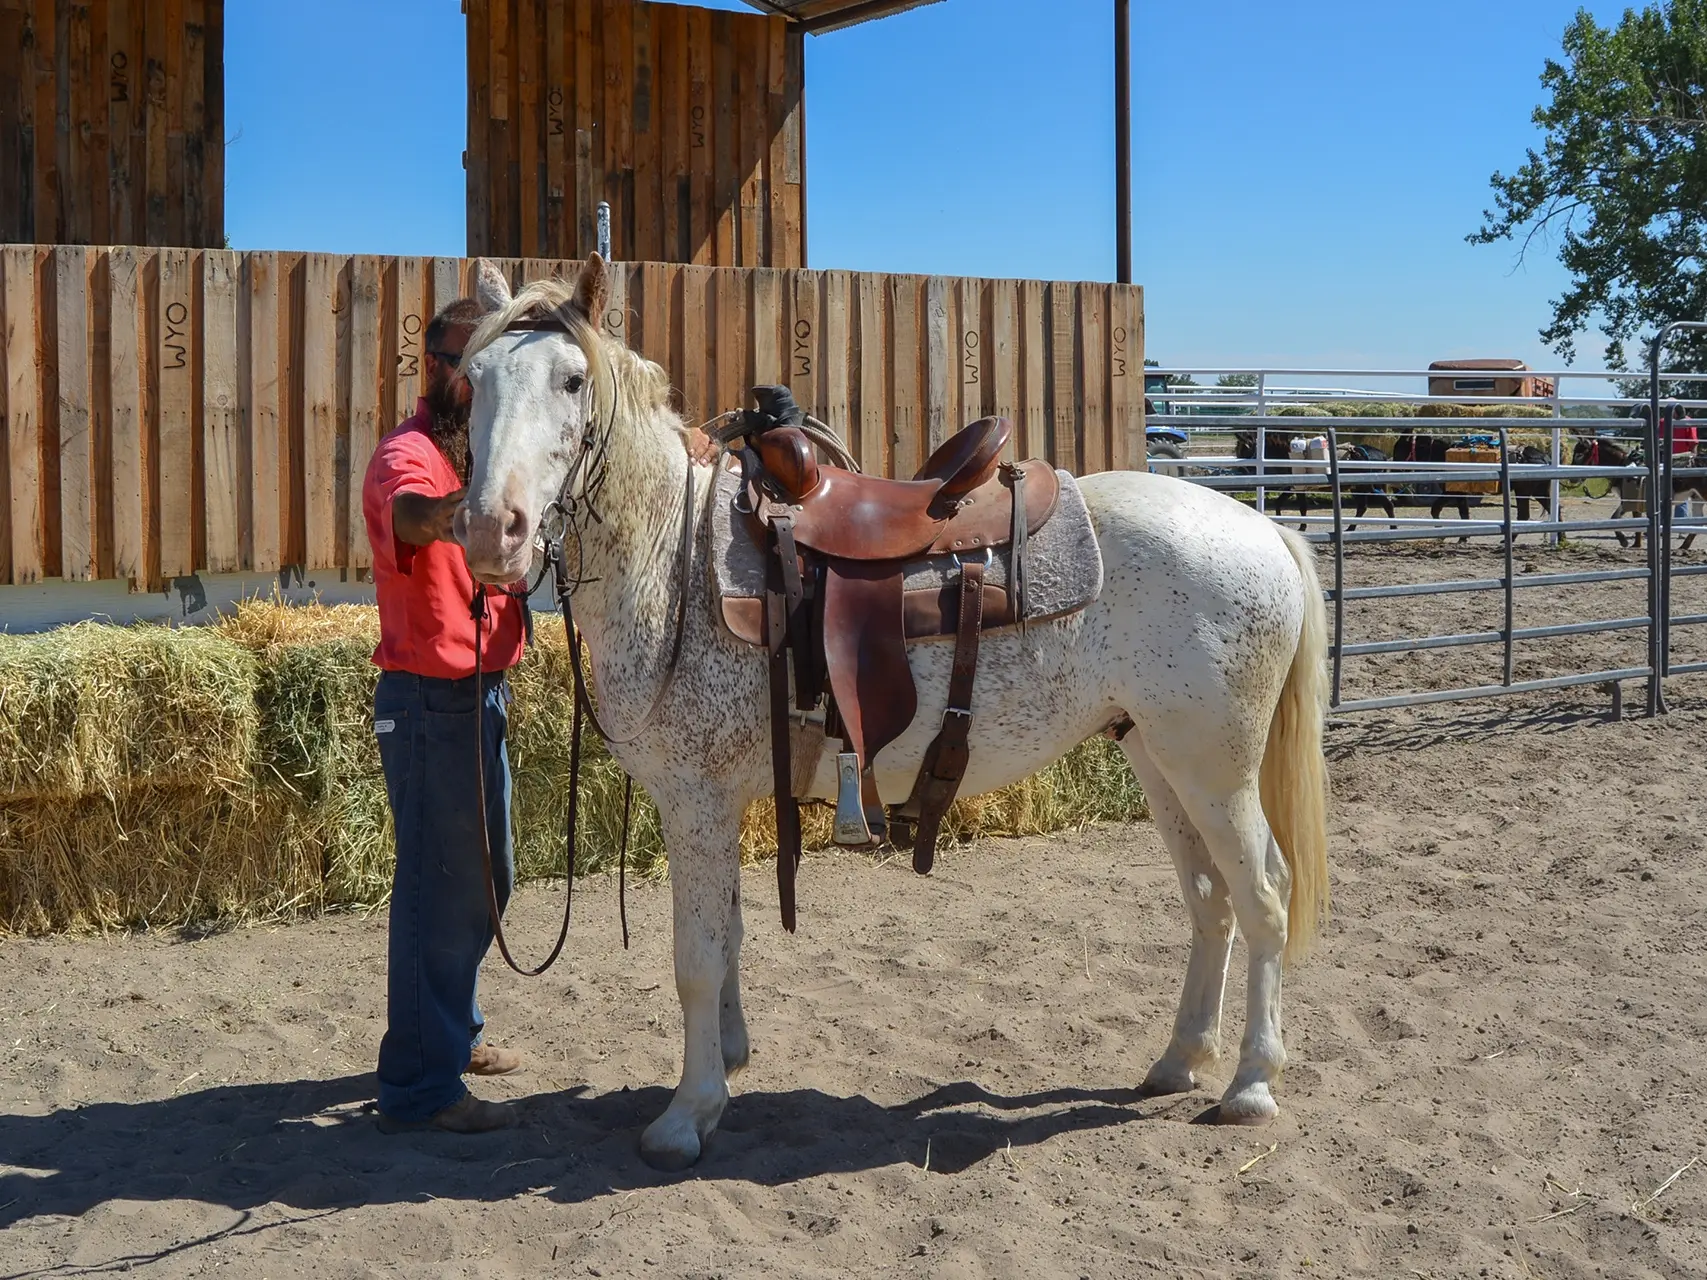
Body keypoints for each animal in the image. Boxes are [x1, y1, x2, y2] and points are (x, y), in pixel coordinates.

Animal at [447, 256, 1324, 1181]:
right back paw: (1179, 1059)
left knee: (1264, 895)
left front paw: (687, 1115)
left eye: (572, 380)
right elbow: (729, 936)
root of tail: (1260, 525)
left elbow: (696, 959)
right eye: (473, 381)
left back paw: (1250, 1083)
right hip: (1159, 760)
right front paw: (728, 1060)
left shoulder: (697, 802)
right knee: (1209, 901)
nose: (489, 530)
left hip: (1215, 769)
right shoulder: (716, 808)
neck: (671, 558)